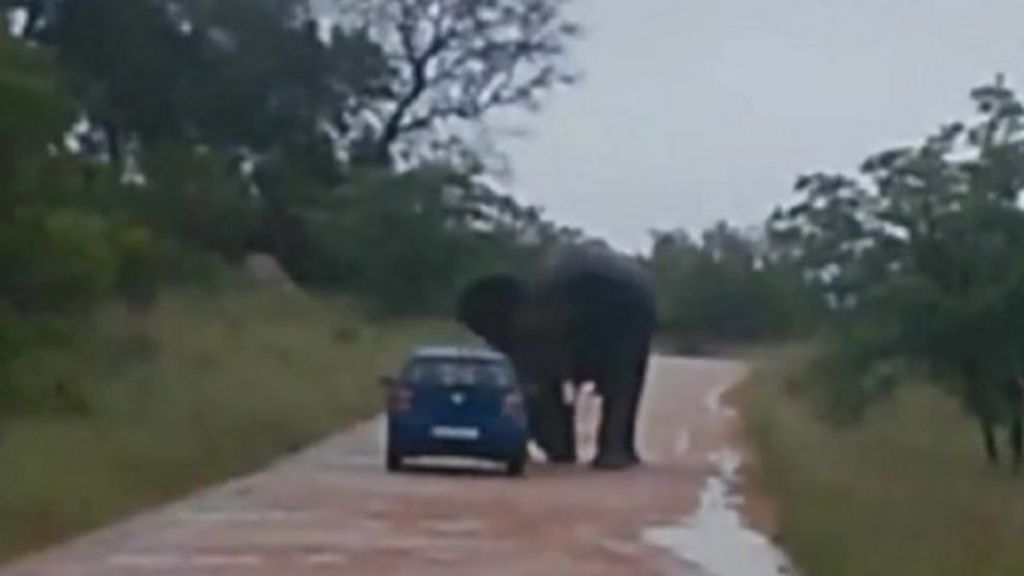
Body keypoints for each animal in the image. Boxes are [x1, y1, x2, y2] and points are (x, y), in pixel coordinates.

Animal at [456, 243, 655, 469]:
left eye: (564, 334)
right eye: (516, 337)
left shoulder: (623, 323)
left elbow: (618, 383)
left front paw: (606, 464)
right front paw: (563, 456)